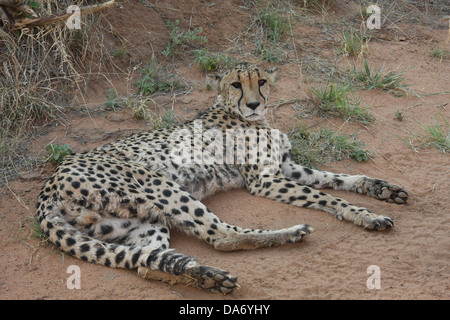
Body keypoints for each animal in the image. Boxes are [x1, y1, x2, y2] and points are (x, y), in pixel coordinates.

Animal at [35, 61, 408, 294]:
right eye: (236, 84)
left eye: (262, 82)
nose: (254, 104)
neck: (248, 117)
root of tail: (48, 185)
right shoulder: (265, 181)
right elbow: (328, 195)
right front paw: (364, 212)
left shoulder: (286, 168)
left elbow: (339, 179)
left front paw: (378, 196)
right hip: (159, 185)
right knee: (222, 235)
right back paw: (288, 234)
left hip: (142, 221)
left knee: (147, 262)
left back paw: (207, 278)